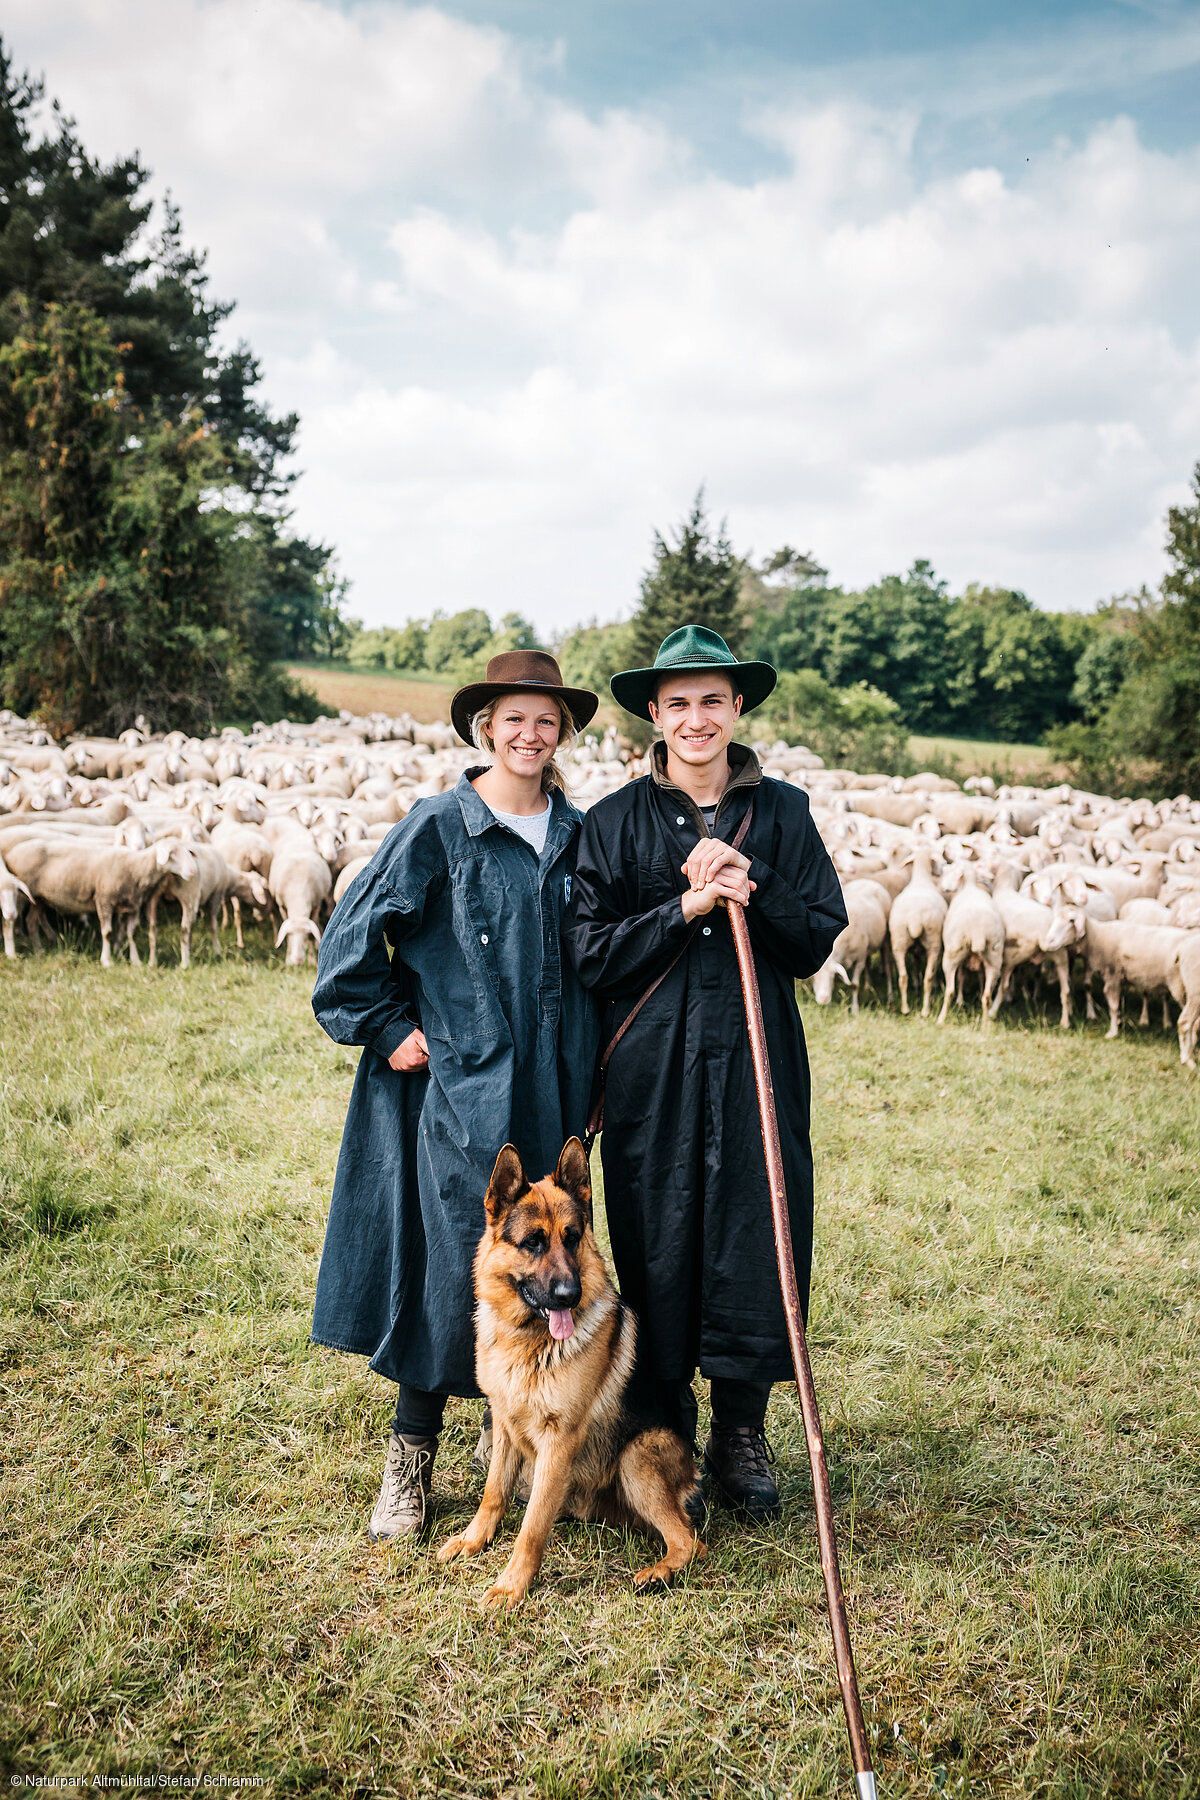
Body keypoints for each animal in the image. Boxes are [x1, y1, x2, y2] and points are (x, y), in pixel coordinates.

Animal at [438, 1137, 705, 1605]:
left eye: (573, 1238)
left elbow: (531, 1527)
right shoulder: (505, 1424)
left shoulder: (559, 1442)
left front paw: (511, 1586)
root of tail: (693, 1474)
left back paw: (659, 1573)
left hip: (635, 1457)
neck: (529, 1340)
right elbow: (493, 1493)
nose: (569, 1295)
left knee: (690, 1540)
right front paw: (473, 1540)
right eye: (533, 1242)